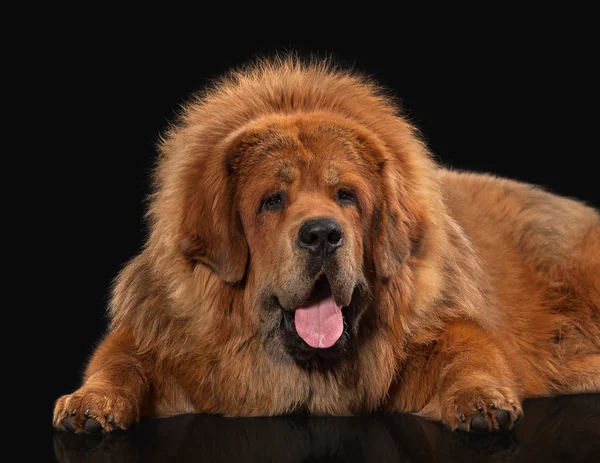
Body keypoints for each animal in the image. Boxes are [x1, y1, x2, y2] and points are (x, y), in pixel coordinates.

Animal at [54, 58, 596, 436]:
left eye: (346, 196)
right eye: (272, 200)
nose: (321, 234)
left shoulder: (442, 328)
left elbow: (469, 352)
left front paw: (482, 403)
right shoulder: (163, 336)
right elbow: (119, 358)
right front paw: (89, 402)